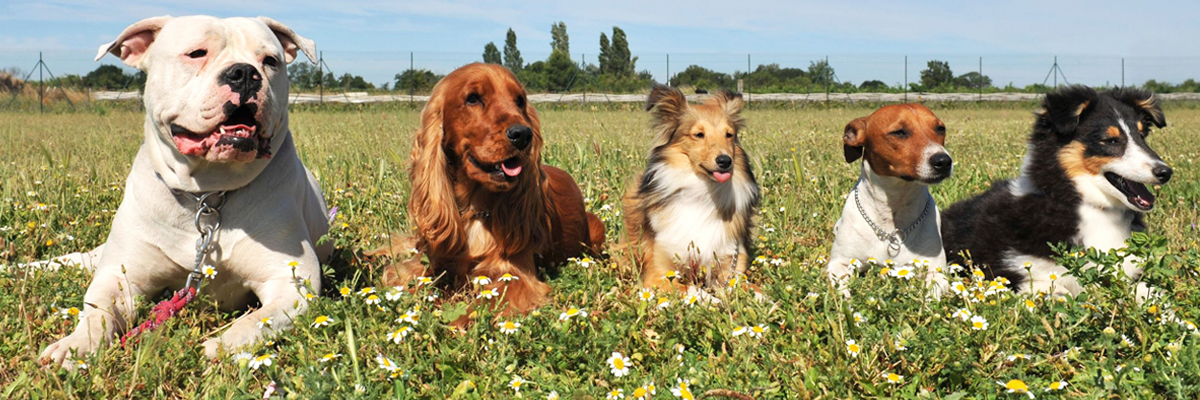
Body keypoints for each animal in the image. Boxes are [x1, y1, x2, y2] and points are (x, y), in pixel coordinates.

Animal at [35, 14, 331, 365]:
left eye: (271, 61)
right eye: (196, 53)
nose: (244, 73)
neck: (208, 194)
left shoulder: (293, 282)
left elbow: (257, 321)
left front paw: (220, 347)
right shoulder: (119, 276)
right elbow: (98, 312)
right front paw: (75, 346)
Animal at [376, 62, 604, 312]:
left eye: (520, 100)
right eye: (473, 98)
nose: (523, 134)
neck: (472, 209)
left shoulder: (515, 276)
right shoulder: (428, 260)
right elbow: (407, 274)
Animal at [936, 84, 1171, 295]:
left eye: (1142, 136)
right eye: (1110, 140)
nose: (1166, 172)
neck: (1092, 208)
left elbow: (1149, 292)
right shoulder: (1008, 267)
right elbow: (1054, 289)